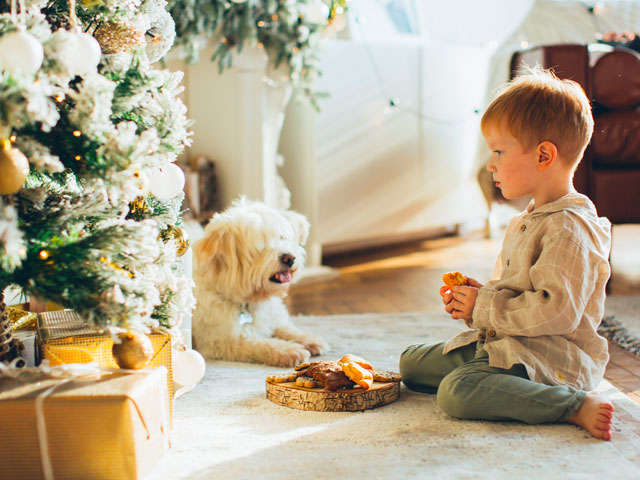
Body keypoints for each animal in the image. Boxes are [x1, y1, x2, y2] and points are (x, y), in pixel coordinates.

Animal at [192, 199, 328, 368]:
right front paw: (289, 350)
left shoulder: (273, 318)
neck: (250, 301)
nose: (289, 258)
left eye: (282, 237)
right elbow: (261, 344)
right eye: (261, 245)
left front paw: (309, 339)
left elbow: (285, 328)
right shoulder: (222, 342)